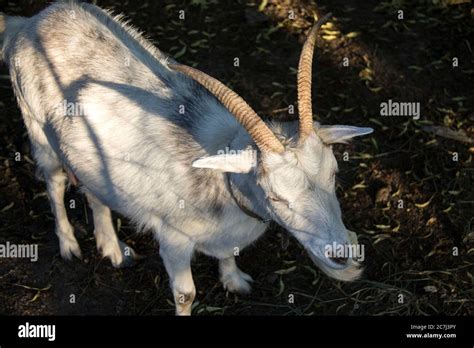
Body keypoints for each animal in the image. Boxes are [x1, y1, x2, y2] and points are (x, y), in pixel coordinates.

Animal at [0, 0, 372, 316]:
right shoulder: (173, 237)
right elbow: (185, 293)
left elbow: (228, 255)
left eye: (333, 175)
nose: (341, 255)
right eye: (276, 196)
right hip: (38, 128)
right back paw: (69, 244)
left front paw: (234, 280)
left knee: (94, 190)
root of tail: (28, 23)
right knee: (55, 181)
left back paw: (113, 248)